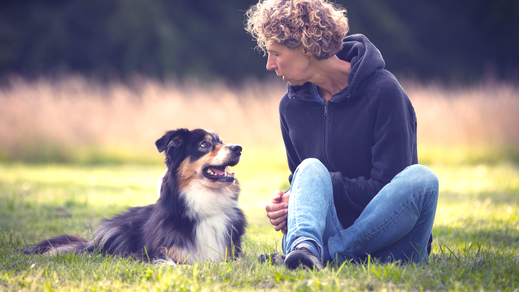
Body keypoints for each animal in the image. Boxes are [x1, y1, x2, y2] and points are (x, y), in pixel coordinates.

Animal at [20, 128, 248, 264]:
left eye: (221, 141)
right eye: (204, 145)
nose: (238, 148)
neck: (205, 201)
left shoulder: (233, 255)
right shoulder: (151, 255)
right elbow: (170, 263)